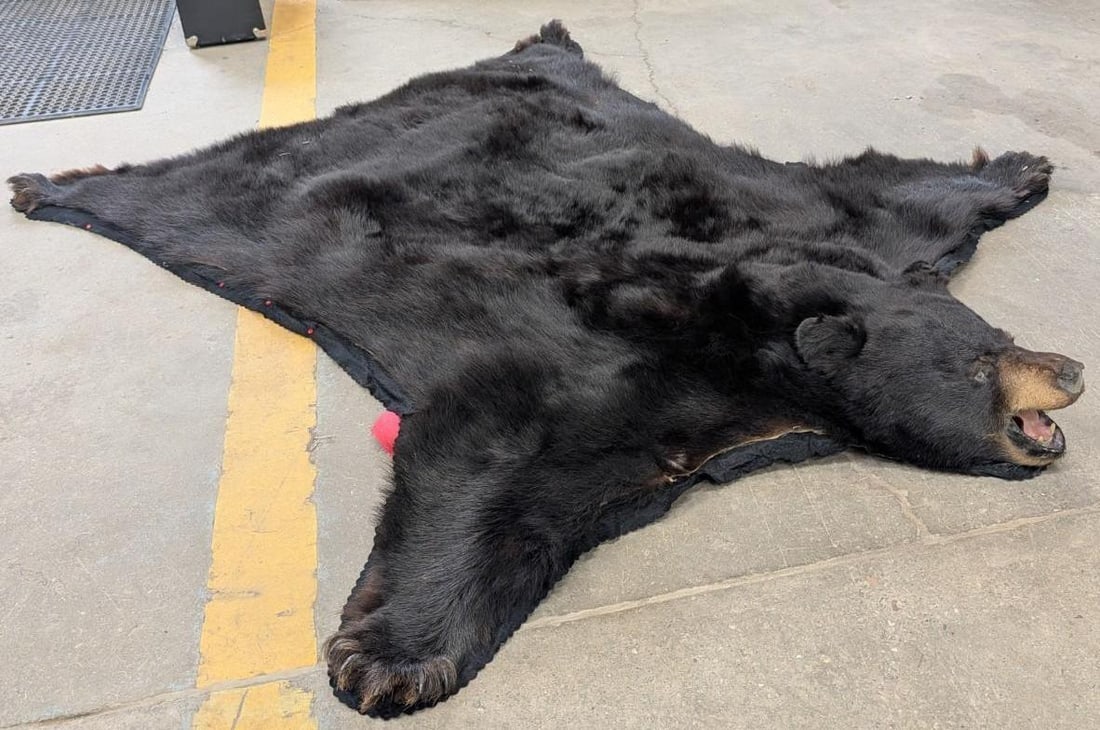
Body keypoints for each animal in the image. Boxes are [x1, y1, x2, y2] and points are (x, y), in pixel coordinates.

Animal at [8, 20, 1085, 718]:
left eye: (997, 332)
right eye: (981, 361)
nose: (1070, 368)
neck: (767, 339)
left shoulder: (825, 236)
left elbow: (891, 195)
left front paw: (1020, 167)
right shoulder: (613, 362)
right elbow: (499, 451)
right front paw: (390, 661)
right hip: (241, 215)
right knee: (178, 198)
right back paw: (52, 181)